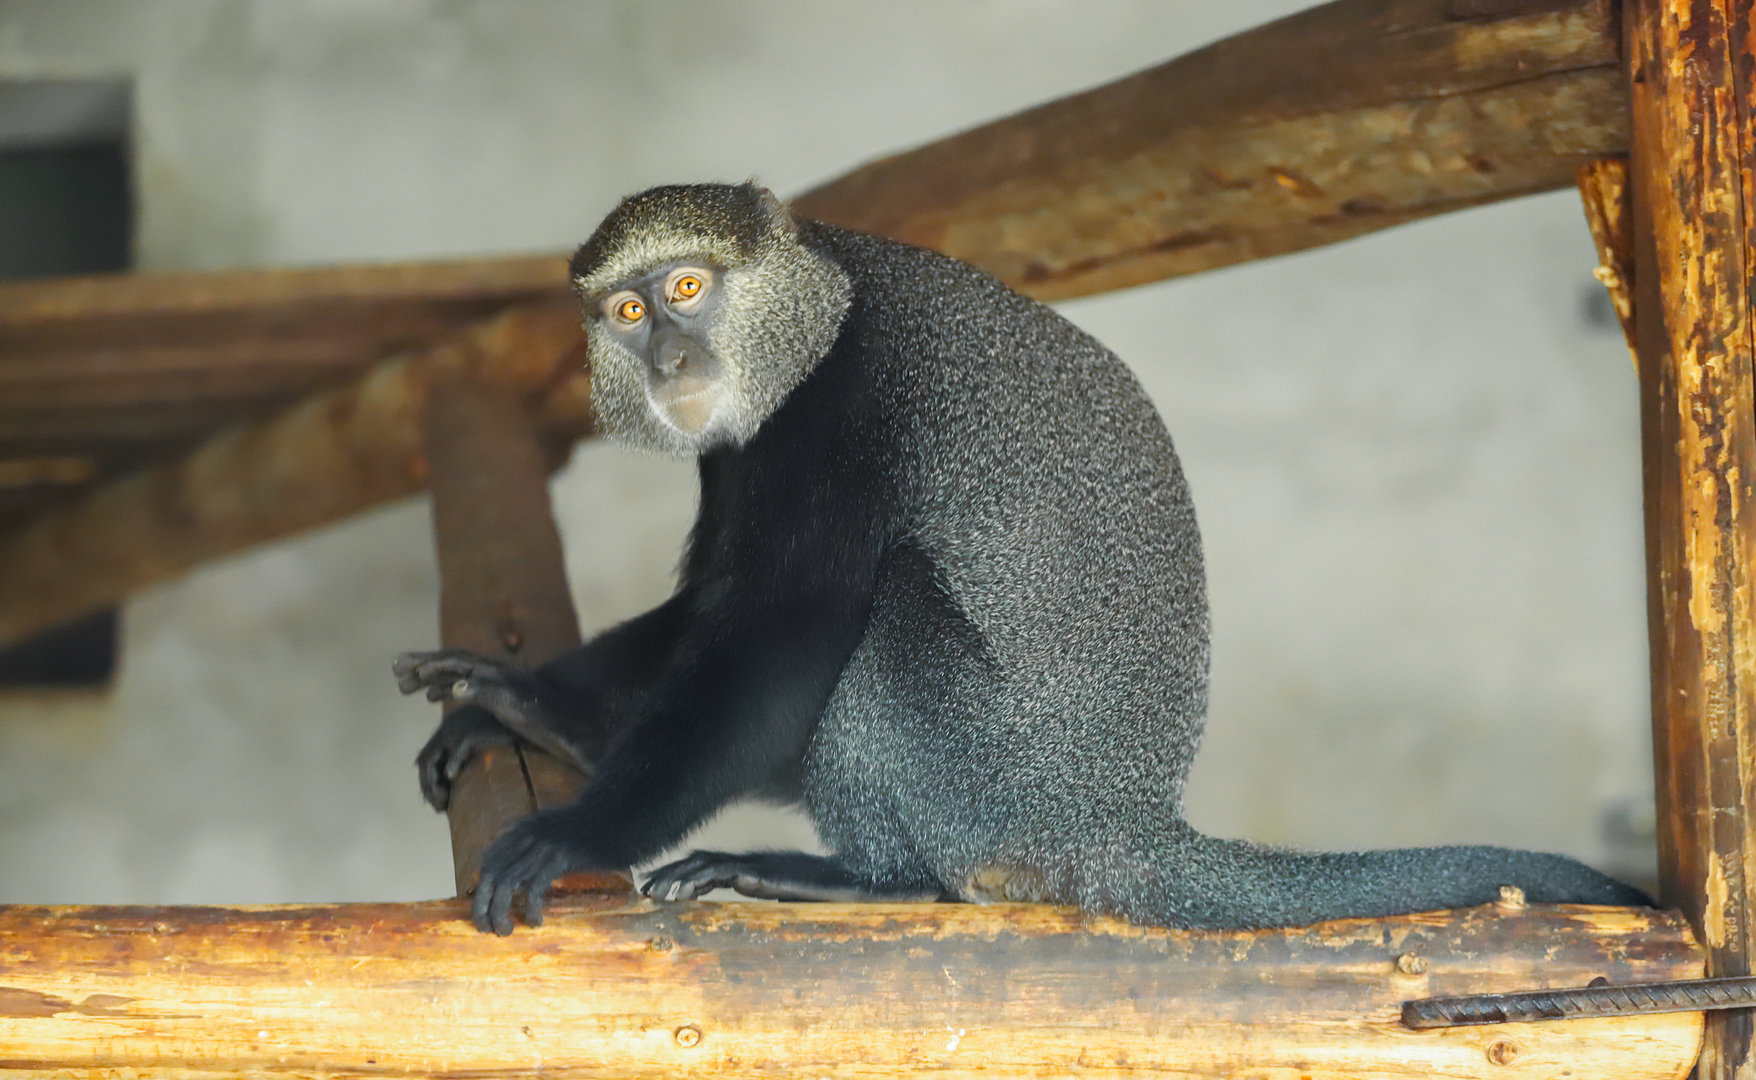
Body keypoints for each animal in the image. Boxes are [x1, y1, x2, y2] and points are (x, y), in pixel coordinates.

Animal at [394, 181, 1649, 935]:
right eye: (625, 311)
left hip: (988, 778)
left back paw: (872, 879)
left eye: (688, 288)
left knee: (894, 613)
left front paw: (579, 827)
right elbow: (710, 600)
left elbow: (775, 630)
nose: (668, 360)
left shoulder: (844, 416)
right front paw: (525, 703)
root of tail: (1115, 823)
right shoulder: (744, 452)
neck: (815, 315)